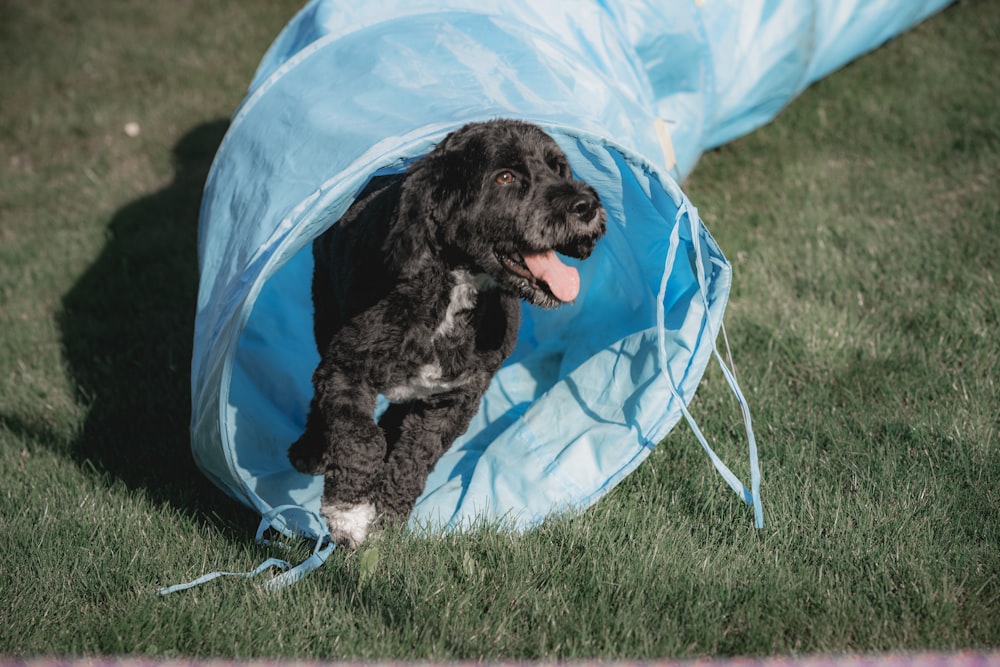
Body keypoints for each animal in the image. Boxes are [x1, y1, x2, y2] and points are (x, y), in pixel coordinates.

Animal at [286, 120, 604, 548]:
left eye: (559, 168)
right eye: (505, 177)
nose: (585, 205)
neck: (453, 288)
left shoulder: (455, 397)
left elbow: (414, 457)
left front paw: (386, 518)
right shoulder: (345, 369)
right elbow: (361, 437)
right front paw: (348, 513)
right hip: (325, 310)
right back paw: (311, 448)